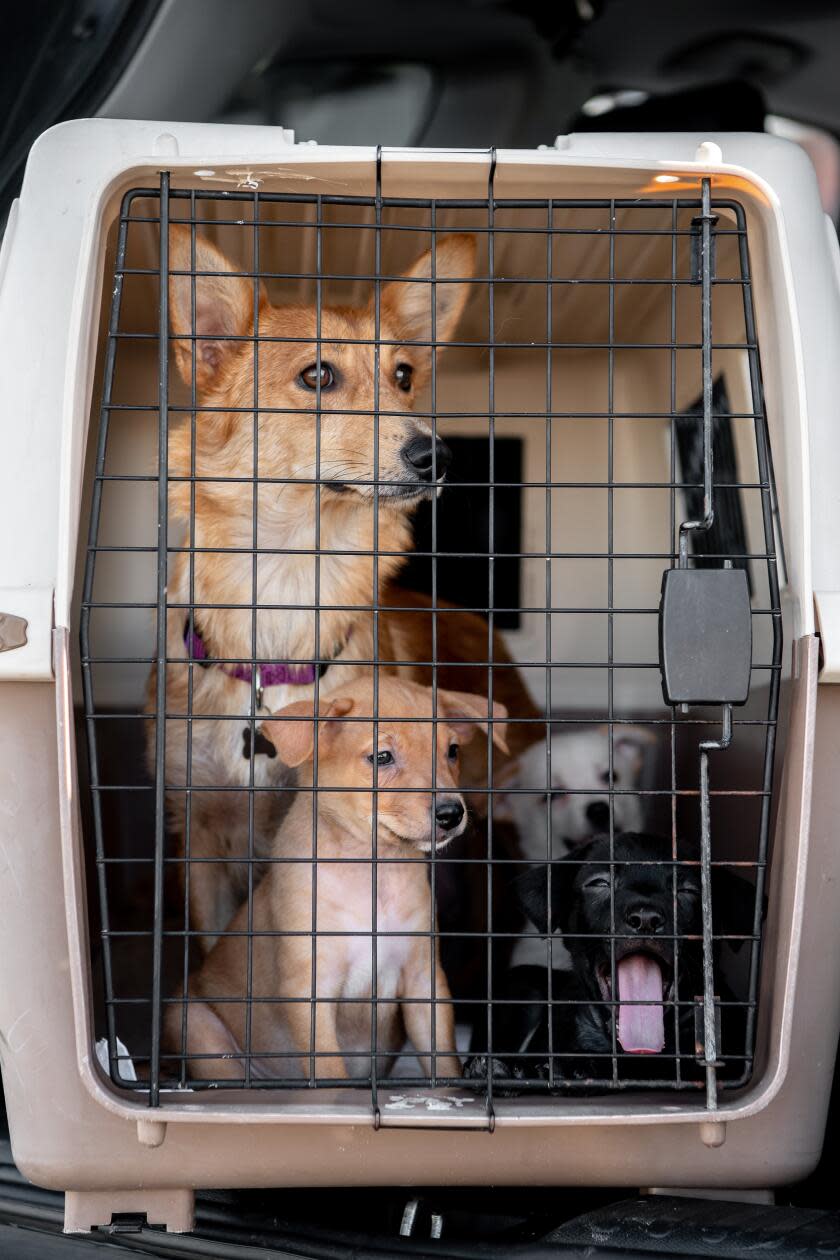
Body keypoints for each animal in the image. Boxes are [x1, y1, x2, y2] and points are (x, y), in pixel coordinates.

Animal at [163, 680, 506, 1083]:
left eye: (452, 751)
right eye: (382, 757)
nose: (452, 813)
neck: (372, 871)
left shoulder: (425, 983)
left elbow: (443, 1060)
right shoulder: (311, 993)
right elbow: (329, 1070)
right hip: (194, 1024)